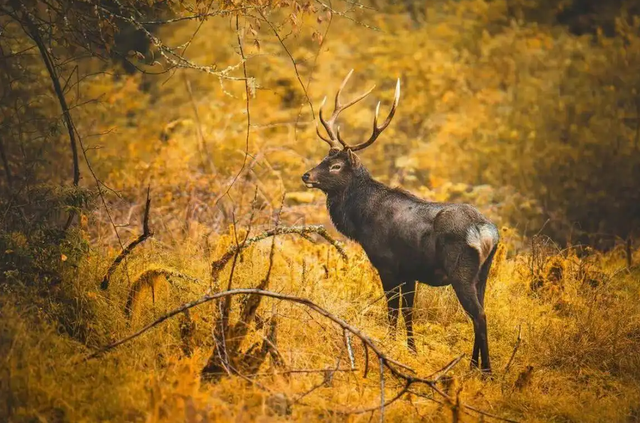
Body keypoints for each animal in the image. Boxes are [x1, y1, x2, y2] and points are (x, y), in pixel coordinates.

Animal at [302, 71, 500, 372]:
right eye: (323, 158)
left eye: (335, 166)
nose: (306, 176)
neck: (362, 222)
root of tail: (486, 232)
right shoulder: (410, 271)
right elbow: (409, 311)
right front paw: (411, 350)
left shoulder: (387, 264)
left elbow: (392, 310)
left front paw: (389, 345)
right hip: (483, 272)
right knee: (481, 310)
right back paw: (474, 365)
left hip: (461, 271)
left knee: (478, 315)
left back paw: (484, 370)